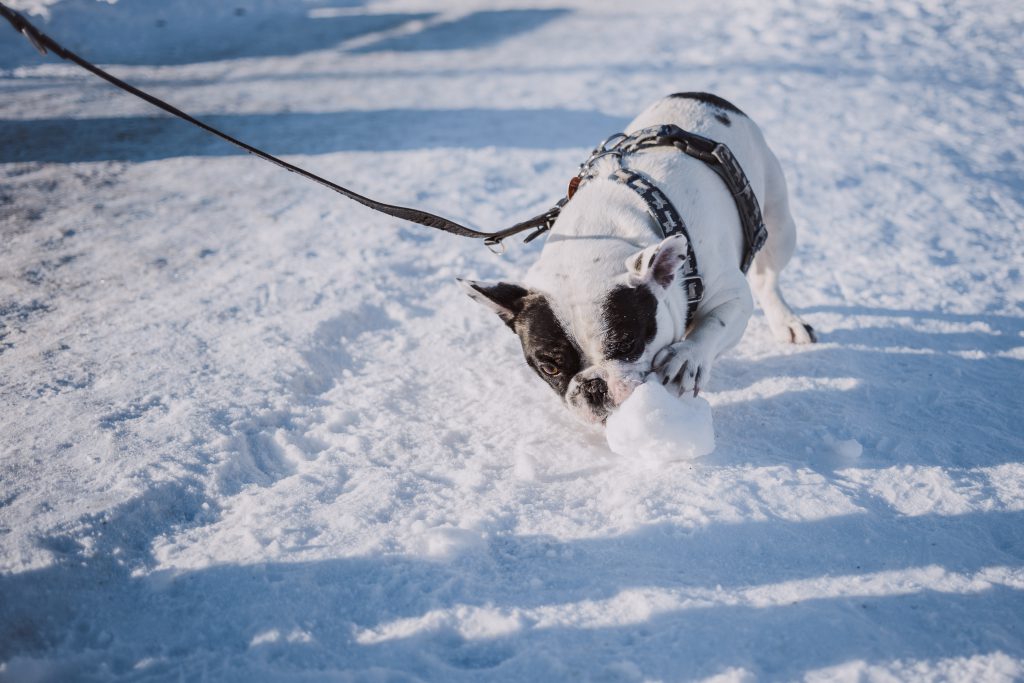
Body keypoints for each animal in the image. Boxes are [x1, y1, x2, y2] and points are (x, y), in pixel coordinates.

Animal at [460, 90, 811, 421]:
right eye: (549, 368)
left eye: (628, 345)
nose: (594, 386)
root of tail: (703, 95)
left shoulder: (732, 295)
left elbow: (714, 325)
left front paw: (686, 357)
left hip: (778, 223)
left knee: (768, 277)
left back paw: (787, 321)